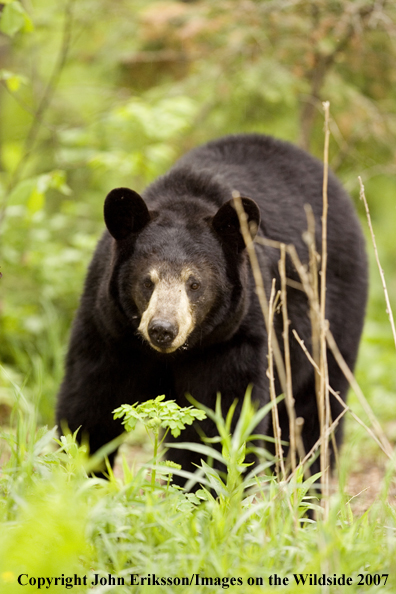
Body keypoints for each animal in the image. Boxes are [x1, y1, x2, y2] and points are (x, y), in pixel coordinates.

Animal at [56, 133, 368, 476]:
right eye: (147, 281)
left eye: (195, 284)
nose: (162, 329)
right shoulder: (111, 331)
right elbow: (90, 406)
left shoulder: (233, 339)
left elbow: (219, 420)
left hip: (328, 318)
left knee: (315, 409)